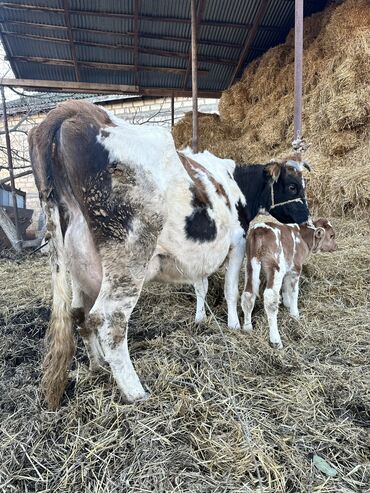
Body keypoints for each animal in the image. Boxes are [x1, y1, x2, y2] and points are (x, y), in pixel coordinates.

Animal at [28, 100, 310, 408]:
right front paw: (234, 325)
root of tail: (76, 110)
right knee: (109, 318)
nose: (306, 218)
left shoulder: (197, 252)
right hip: (129, 254)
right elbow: (230, 289)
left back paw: (97, 365)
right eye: (292, 186)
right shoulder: (237, 241)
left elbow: (201, 285)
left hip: (78, 260)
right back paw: (135, 392)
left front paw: (200, 318)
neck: (235, 184)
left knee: (80, 313)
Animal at [241, 217, 336, 348]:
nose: (336, 247)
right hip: (276, 267)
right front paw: (295, 314)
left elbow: (285, 287)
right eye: (332, 235)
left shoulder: (288, 269)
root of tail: (259, 229)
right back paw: (276, 341)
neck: (303, 236)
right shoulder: (295, 269)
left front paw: (286, 303)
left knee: (248, 294)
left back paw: (247, 327)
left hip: (250, 264)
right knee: (270, 299)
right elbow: (294, 292)